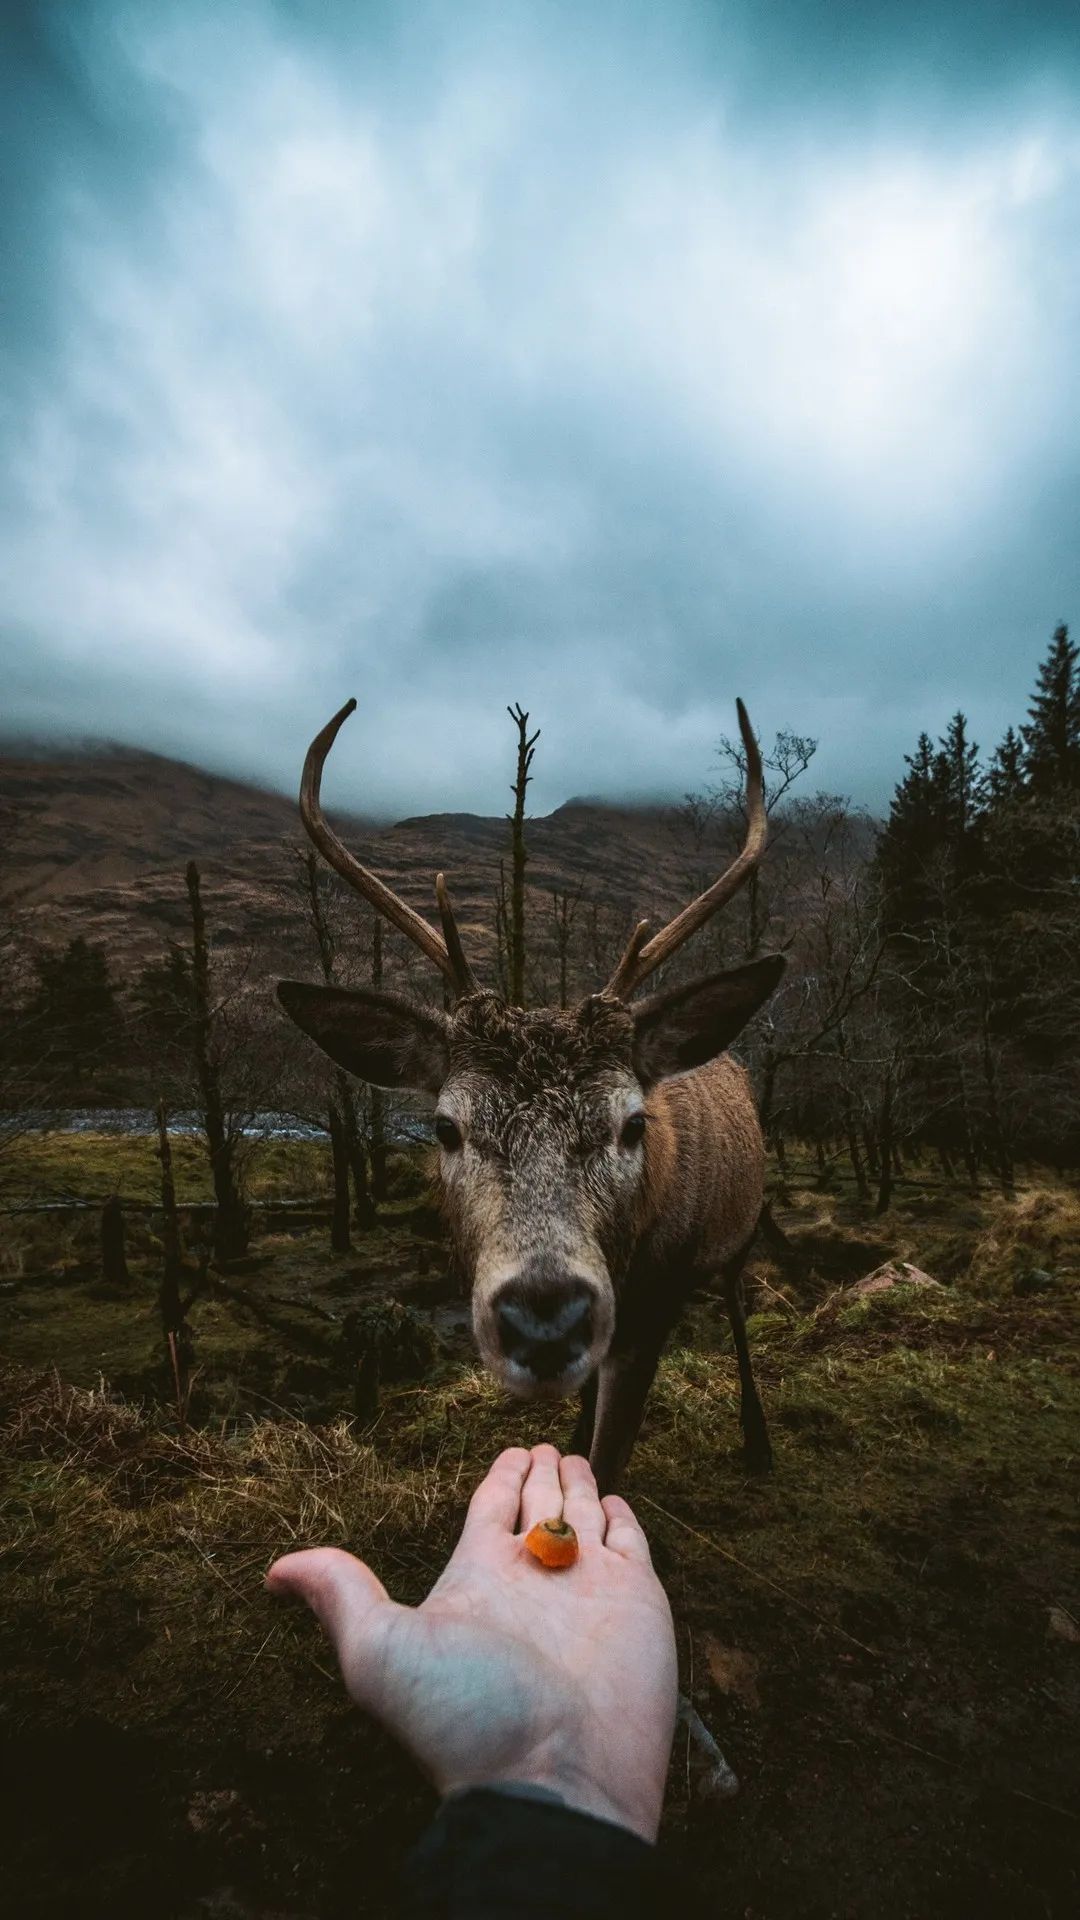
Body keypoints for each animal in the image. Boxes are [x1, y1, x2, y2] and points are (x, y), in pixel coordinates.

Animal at [277, 697, 785, 1496]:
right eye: (446, 1127)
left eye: (633, 1124)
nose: (545, 1317)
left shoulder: (654, 1308)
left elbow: (607, 1468)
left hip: (742, 1228)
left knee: (736, 1308)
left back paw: (758, 1438)